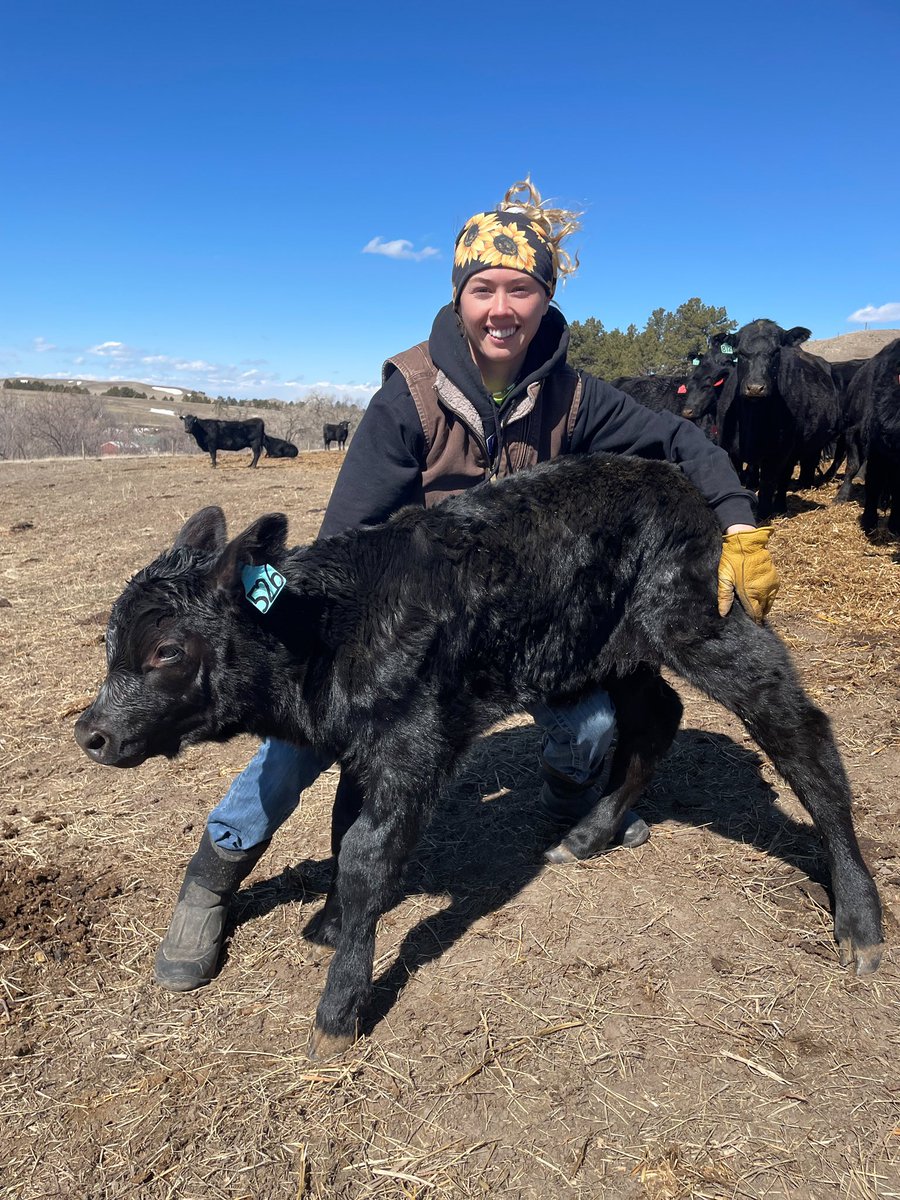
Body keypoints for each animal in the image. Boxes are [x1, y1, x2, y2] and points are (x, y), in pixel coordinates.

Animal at [715, 320, 840, 520]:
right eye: (740, 352)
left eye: (775, 352)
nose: (755, 387)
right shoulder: (729, 449)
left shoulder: (778, 453)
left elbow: (767, 484)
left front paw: (763, 514)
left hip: (797, 448)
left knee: (785, 477)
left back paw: (781, 505)